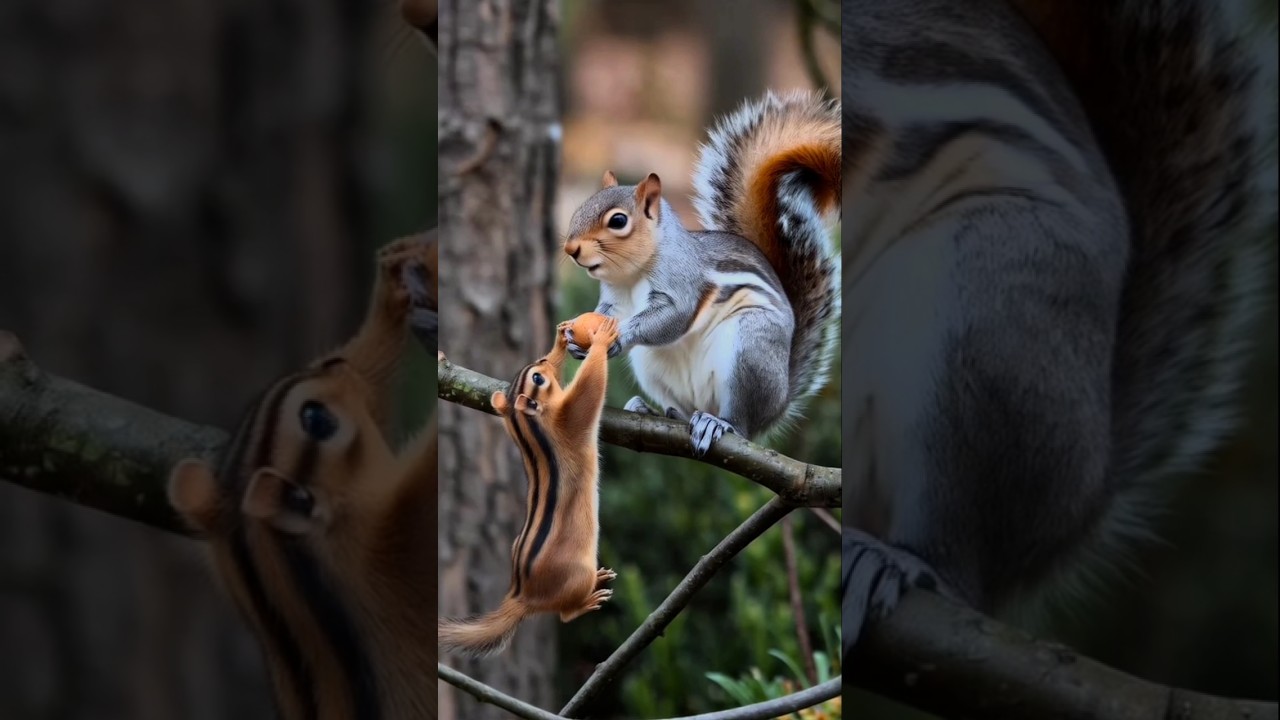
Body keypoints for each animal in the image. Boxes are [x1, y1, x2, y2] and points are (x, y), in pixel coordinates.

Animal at [438, 312, 620, 658]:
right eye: (537, 378)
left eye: (537, 369)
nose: (542, 359)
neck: (527, 426)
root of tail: (522, 597)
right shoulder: (569, 418)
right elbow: (590, 388)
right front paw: (601, 340)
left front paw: (560, 341)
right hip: (577, 574)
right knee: (565, 614)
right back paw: (588, 600)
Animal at [561, 90, 841, 457]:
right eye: (581, 208)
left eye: (618, 220)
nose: (570, 249)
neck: (631, 275)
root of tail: (778, 404)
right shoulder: (614, 300)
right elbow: (606, 313)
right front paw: (575, 341)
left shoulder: (682, 280)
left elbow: (675, 315)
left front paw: (619, 337)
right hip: (652, 367)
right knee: (681, 410)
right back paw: (654, 410)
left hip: (750, 350)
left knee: (741, 423)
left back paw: (717, 423)